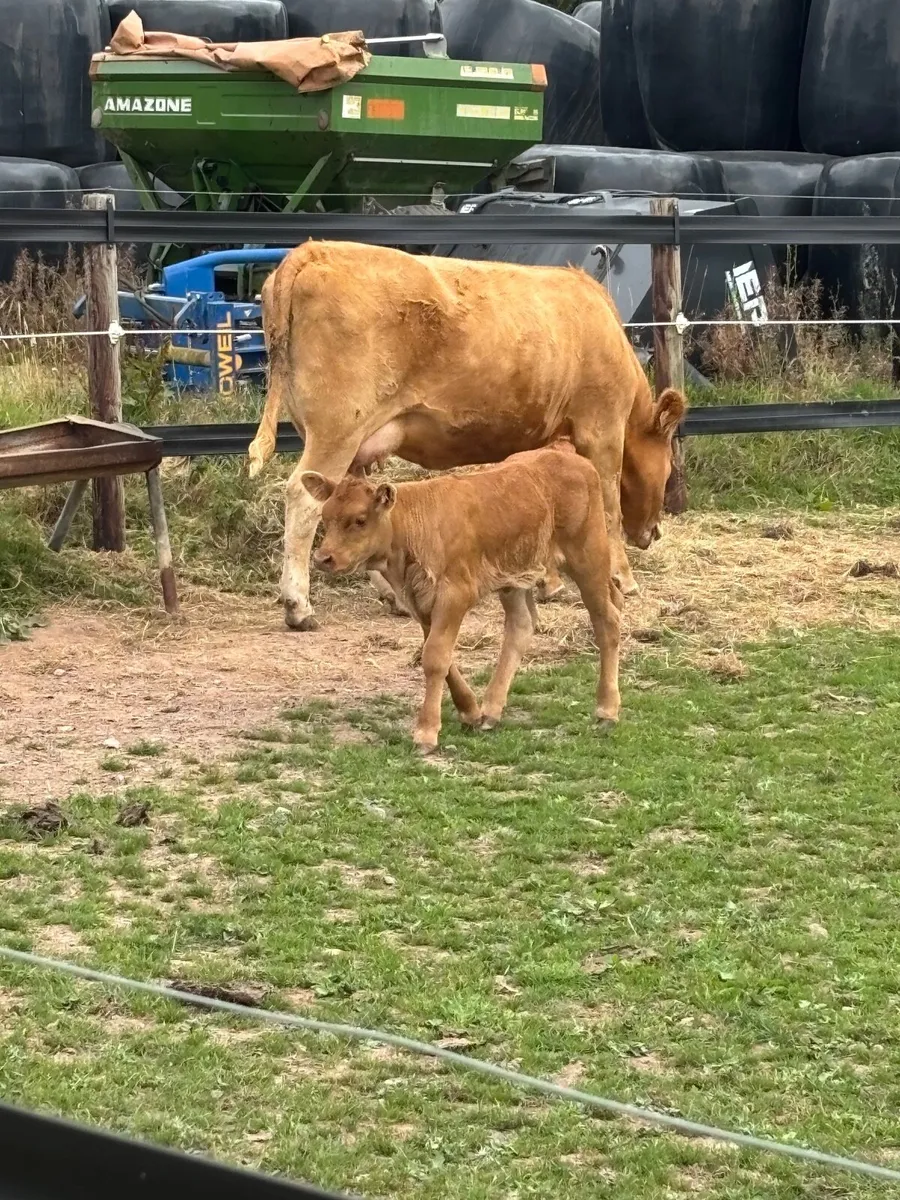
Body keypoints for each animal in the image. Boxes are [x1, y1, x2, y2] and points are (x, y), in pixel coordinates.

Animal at [248, 240, 687, 631]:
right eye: (669, 470)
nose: (654, 532)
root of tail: (313, 250)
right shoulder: (602, 427)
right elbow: (611, 507)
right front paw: (622, 578)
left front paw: (548, 582)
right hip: (336, 431)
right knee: (303, 498)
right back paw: (299, 606)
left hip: (348, 440)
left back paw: (390, 597)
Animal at [301, 441, 623, 754]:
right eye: (325, 516)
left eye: (359, 520)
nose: (323, 558)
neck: (413, 528)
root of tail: (561, 452)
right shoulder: (420, 601)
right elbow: (439, 654)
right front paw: (470, 711)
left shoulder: (455, 595)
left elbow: (434, 657)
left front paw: (426, 733)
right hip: (515, 574)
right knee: (521, 625)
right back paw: (491, 710)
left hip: (588, 556)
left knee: (607, 619)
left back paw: (606, 710)